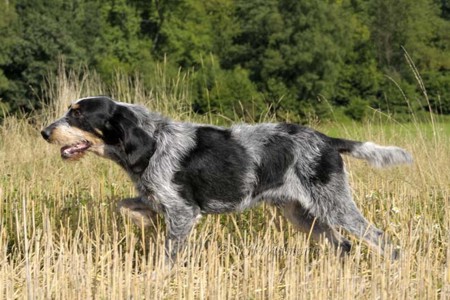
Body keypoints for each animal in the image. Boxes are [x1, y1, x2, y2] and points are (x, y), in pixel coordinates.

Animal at [41, 96, 412, 262]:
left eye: (78, 115)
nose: (44, 132)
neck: (151, 140)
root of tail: (328, 140)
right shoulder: (159, 200)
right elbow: (125, 205)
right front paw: (143, 220)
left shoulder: (184, 212)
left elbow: (168, 255)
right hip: (301, 213)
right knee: (343, 244)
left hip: (335, 206)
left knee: (379, 238)